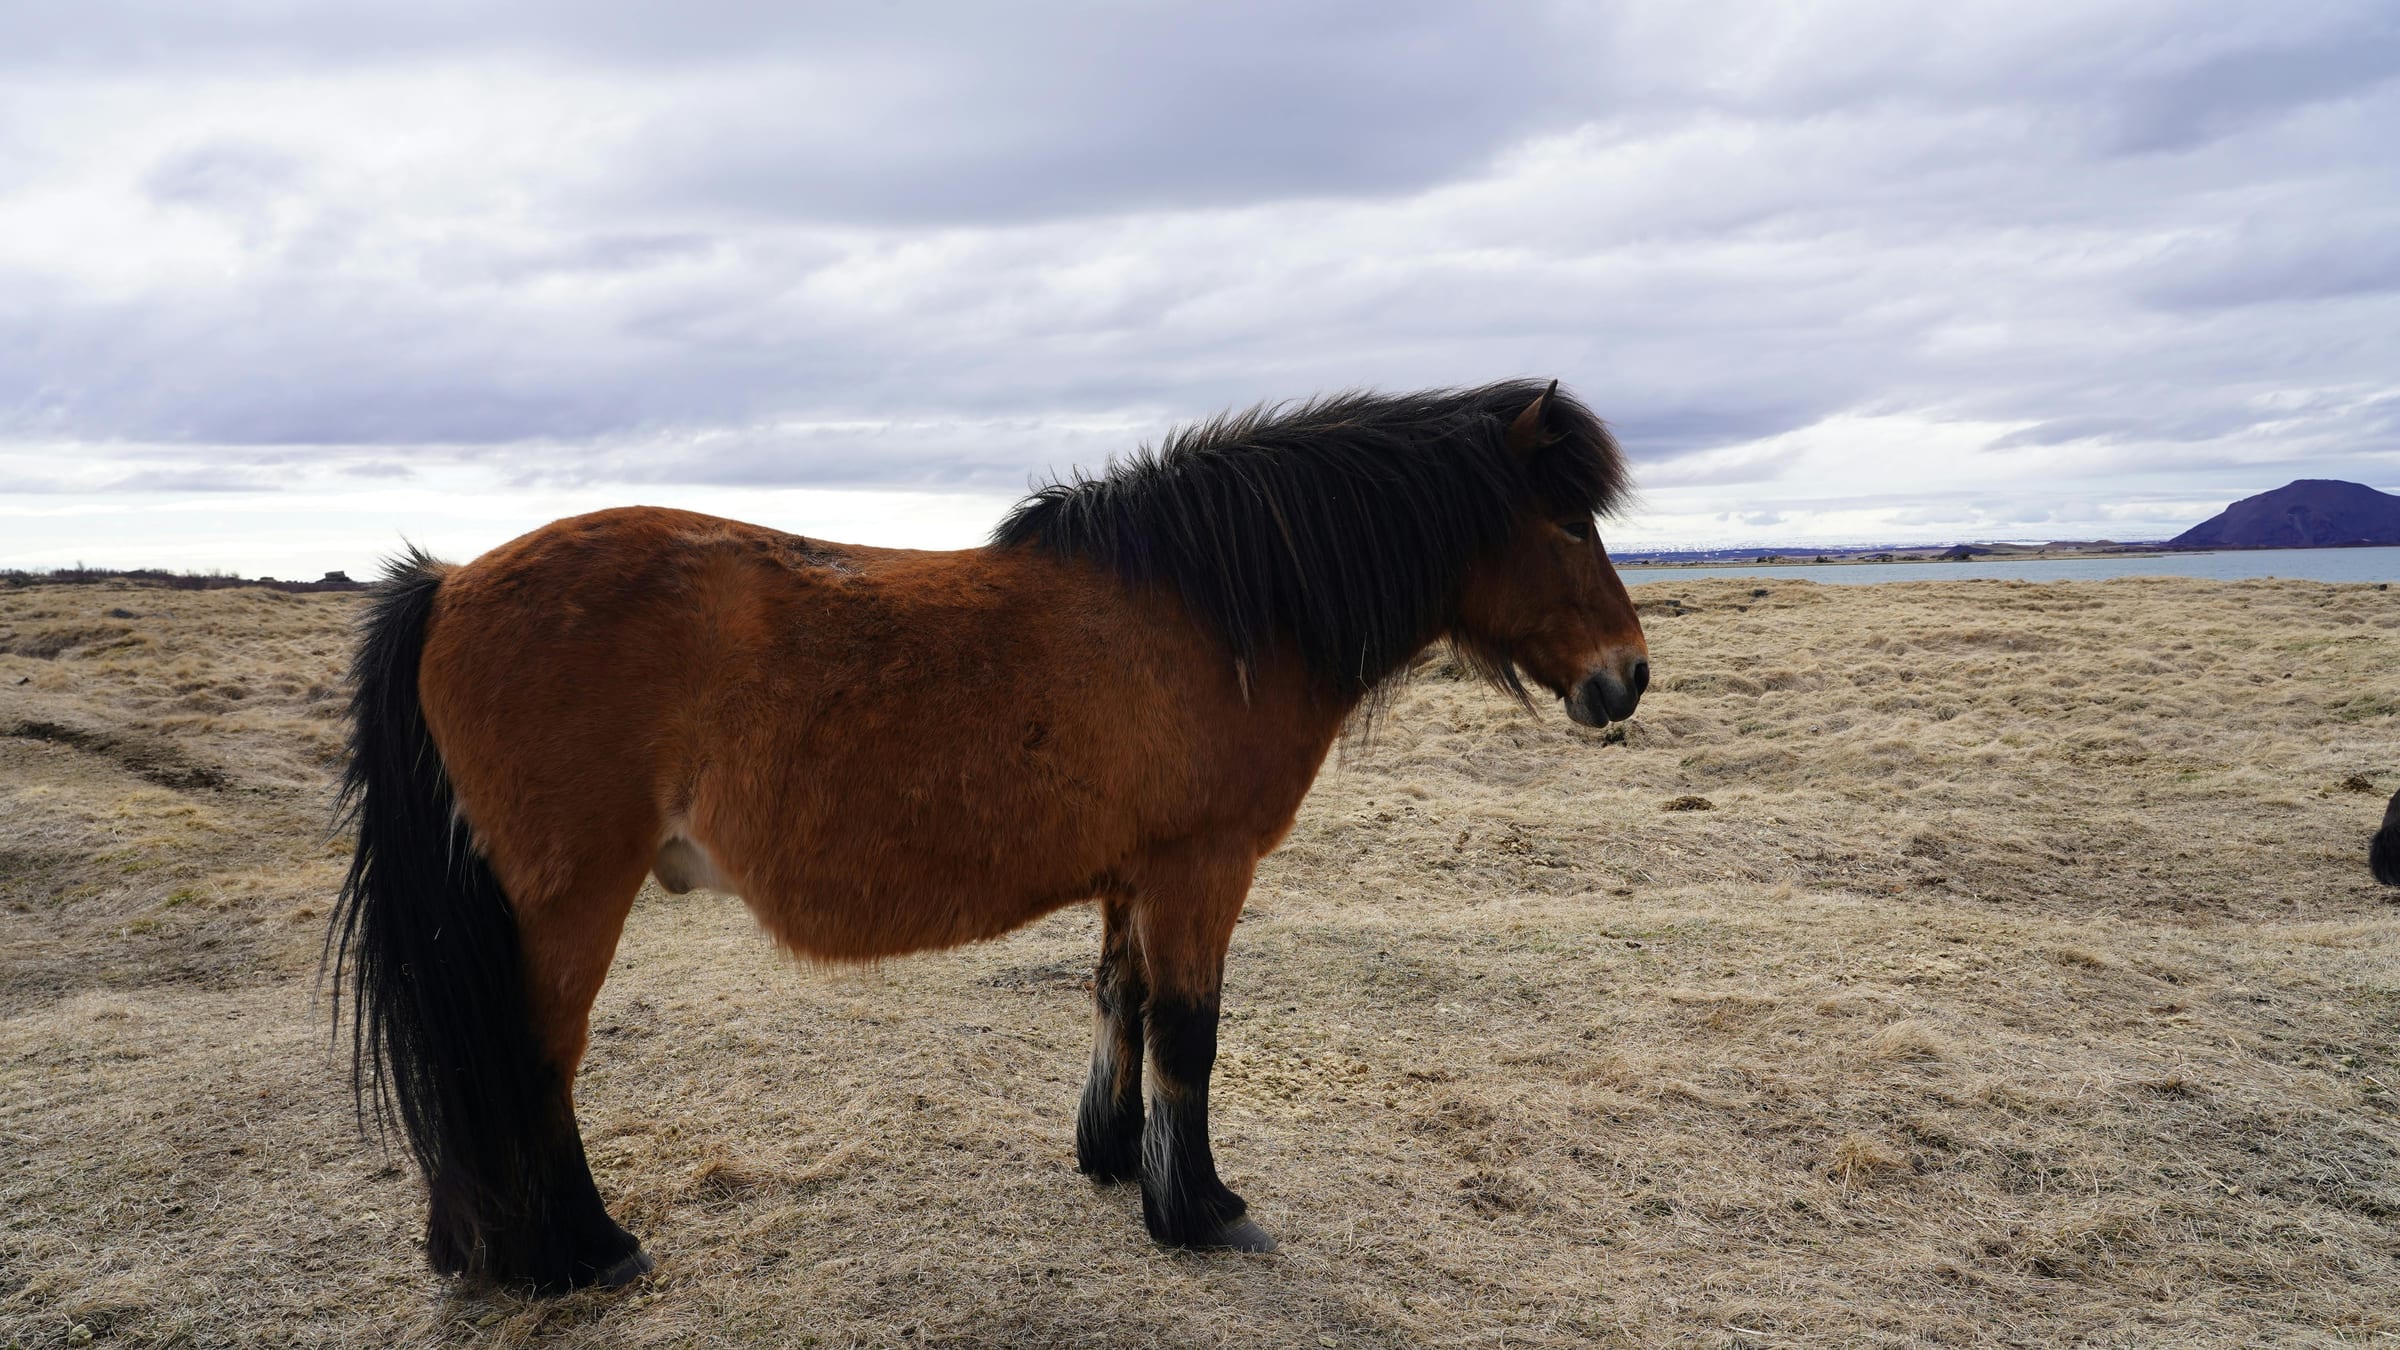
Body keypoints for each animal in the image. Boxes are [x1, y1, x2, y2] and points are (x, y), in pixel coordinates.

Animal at [326, 378, 1648, 1291]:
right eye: (1568, 524)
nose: (1627, 678)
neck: (1218, 610)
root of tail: (451, 582)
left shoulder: (1134, 872)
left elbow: (1121, 1003)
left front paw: (1114, 1160)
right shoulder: (1203, 868)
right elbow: (1192, 1034)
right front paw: (1201, 1210)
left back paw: (480, 1246)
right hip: (568, 899)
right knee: (534, 1060)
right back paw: (588, 1249)